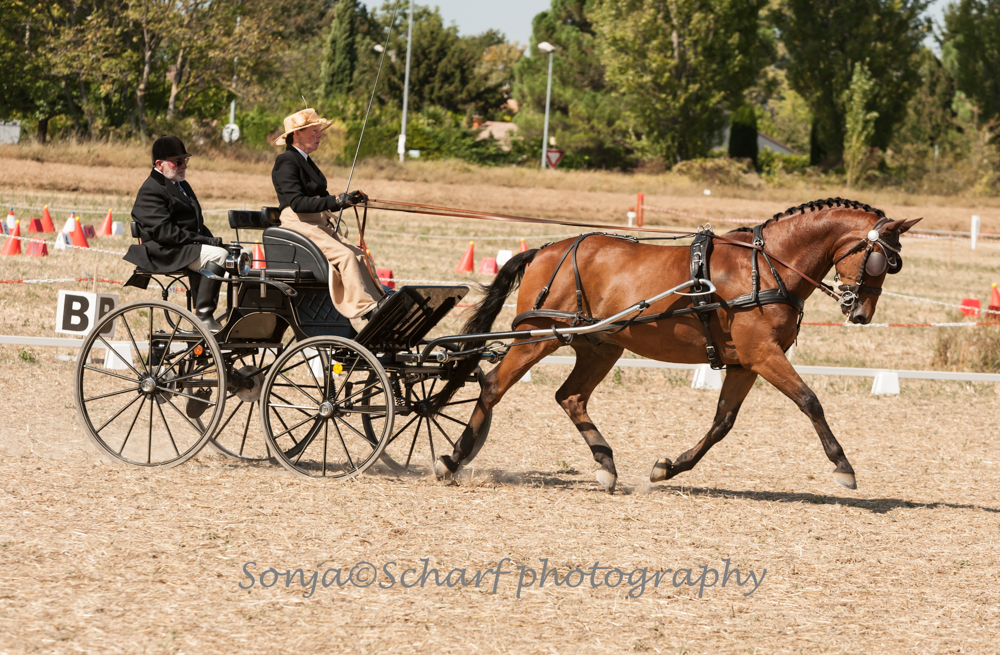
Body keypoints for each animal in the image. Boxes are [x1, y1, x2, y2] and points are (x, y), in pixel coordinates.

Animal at [432, 198, 921, 493]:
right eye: (882, 261)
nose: (860, 313)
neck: (766, 266)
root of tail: (546, 250)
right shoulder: (763, 355)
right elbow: (810, 400)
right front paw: (843, 468)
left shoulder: (744, 363)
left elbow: (722, 423)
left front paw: (667, 468)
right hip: (537, 335)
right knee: (493, 385)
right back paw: (453, 460)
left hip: (600, 345)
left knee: (570, 397)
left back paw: (605, 465)